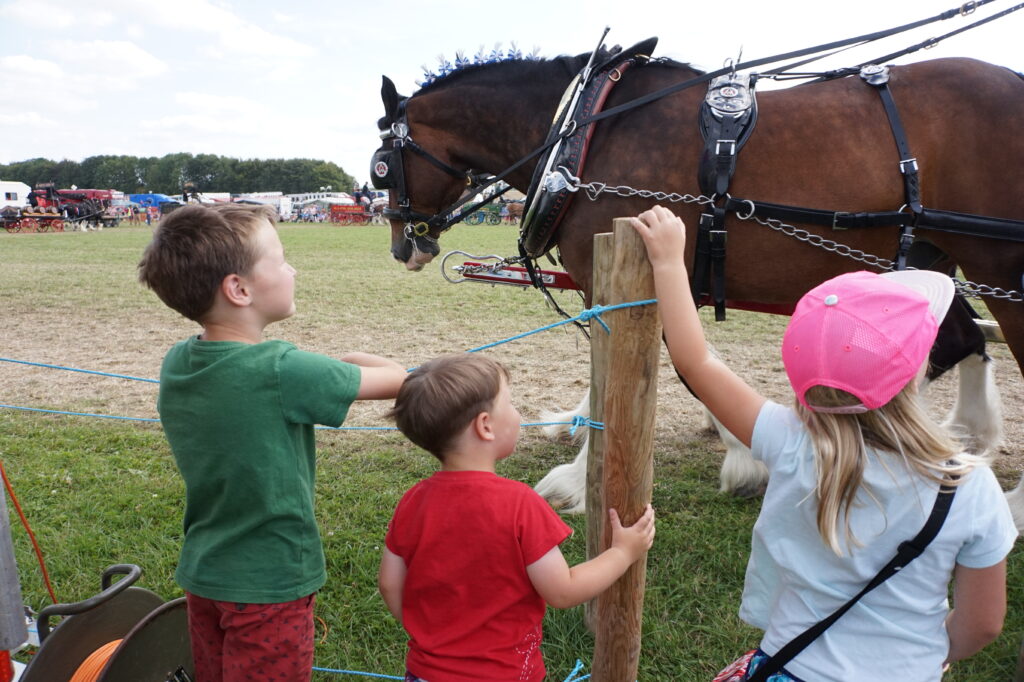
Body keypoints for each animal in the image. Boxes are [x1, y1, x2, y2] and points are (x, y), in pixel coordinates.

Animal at [376, 47, 1024, 501]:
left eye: (382, 165)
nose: (402, 246)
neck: (587, 131)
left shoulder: (632, 268)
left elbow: (634, 374)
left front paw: (583, 478)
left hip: (997, 265)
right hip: (927, 260)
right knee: (959, 339)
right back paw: (955, 437)